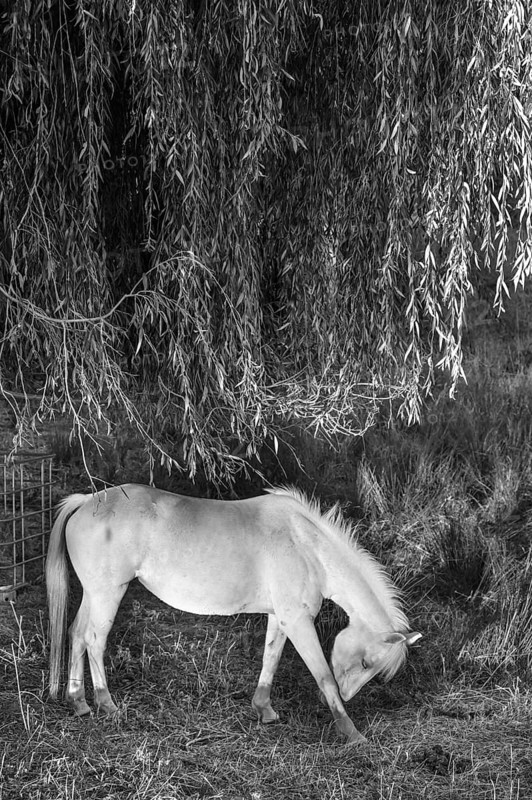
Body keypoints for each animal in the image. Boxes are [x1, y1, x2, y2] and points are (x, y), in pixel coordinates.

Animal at [46, 483, 421, 744]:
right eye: (366, 663)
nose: (347, 695)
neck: (307, 546)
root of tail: (88, 501)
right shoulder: (299, 622)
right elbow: (323, 675)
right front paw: (352, 733)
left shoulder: (281, 619)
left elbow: (271, 659)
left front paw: (264, 708)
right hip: (108, 594)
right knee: (94, 641)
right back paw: (106, 704)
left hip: (95, 595)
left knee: (77, 635)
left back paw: (79, 702)